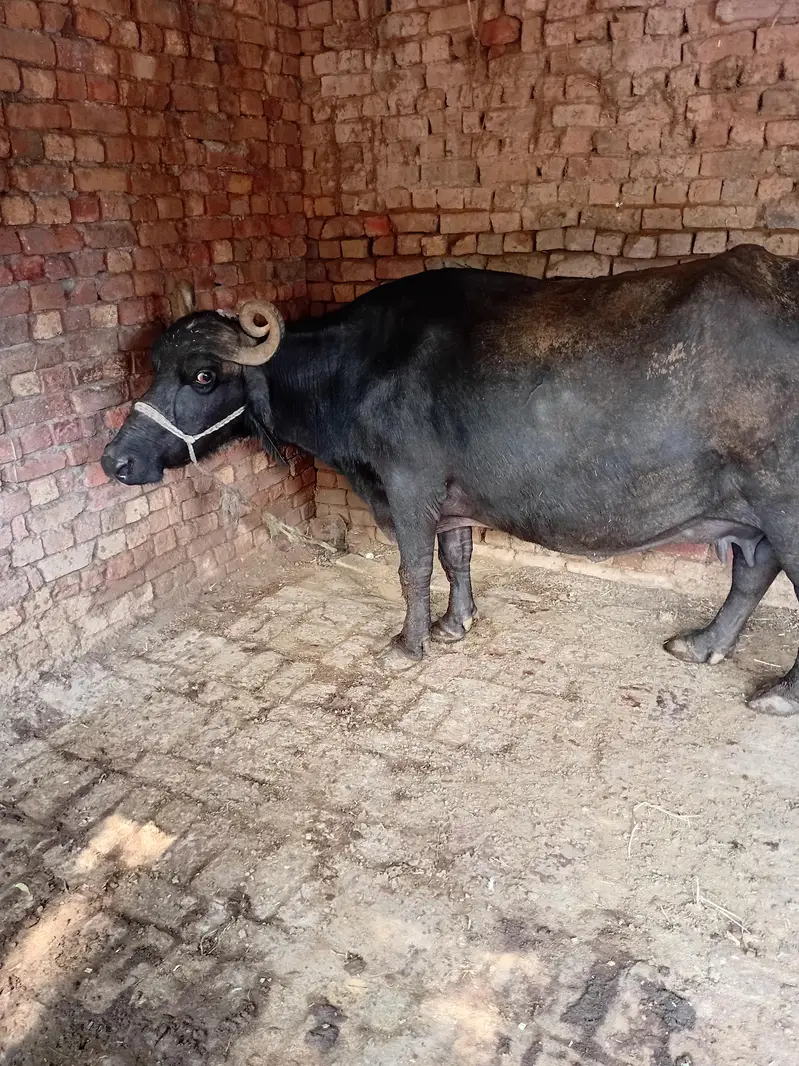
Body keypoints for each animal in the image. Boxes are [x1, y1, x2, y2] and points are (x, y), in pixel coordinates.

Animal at [102, 245, 799, 715]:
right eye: (155, 365)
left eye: (202, 376)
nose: (116, 461)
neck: (359, 367)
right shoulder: (452, 496)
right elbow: (456, 554)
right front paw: (454, 623)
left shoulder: (407, 484)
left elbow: (413, 568)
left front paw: (407, 643)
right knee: (751, 571)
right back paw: (705, 644)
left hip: (783, 505)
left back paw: (779, 692)